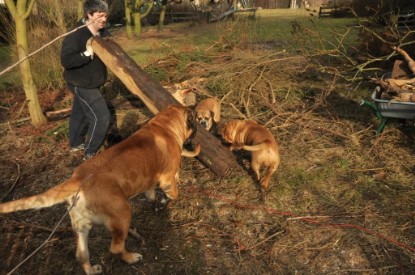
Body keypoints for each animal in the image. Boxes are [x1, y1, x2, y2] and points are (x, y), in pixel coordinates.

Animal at [0, 104, 202, 274]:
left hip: (81, 228)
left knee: (81, 255)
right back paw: (132, 257)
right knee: (115, 247)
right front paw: (165, 202)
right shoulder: (167, 180)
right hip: (122, 211)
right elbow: (172, 194)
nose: (198, 121)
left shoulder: (150, 183)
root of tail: (78, 179)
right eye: (192, 117)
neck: (165, 125)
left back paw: (92, 269)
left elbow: (151, 195)